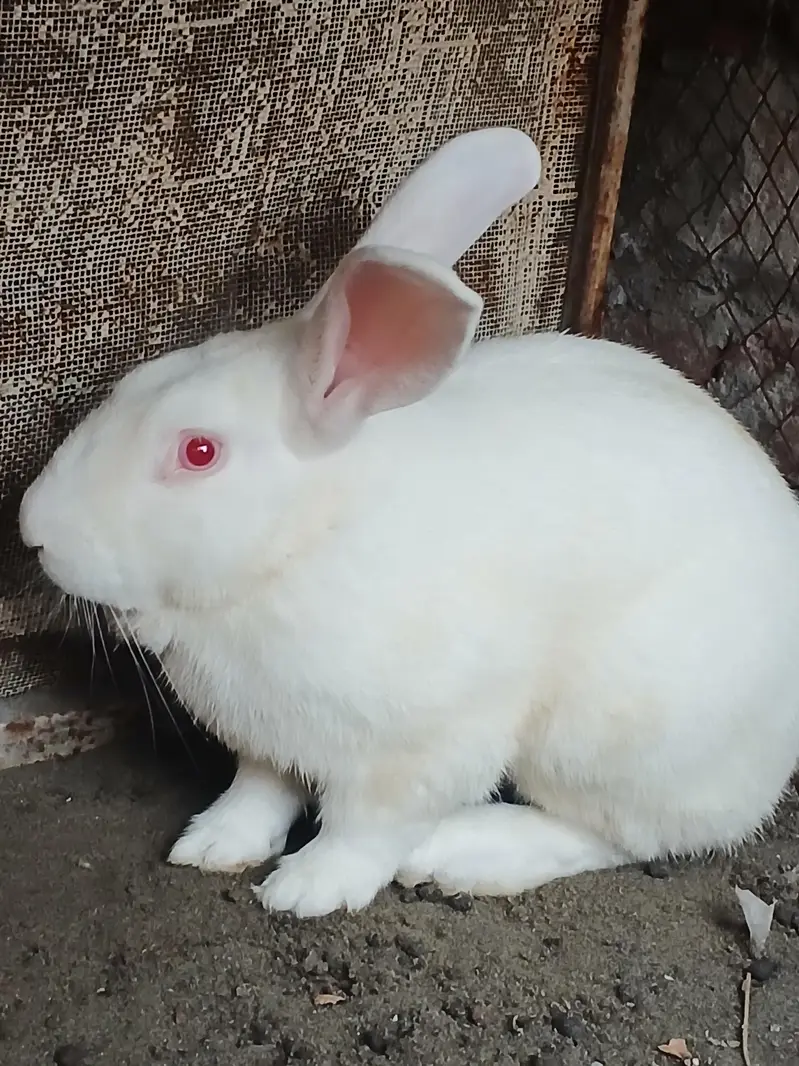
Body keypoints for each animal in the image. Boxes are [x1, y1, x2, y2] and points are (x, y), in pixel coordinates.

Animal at [19, 126, 799, 920]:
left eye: (198, 452)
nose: (33, 530)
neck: (303, 543)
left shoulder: (421, 747)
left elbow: (365, 827)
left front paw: (305, 890)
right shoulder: (268, 739)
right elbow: (259, 789)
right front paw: (213, 844)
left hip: (611, 734)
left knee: (621, 834)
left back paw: (461, 854)